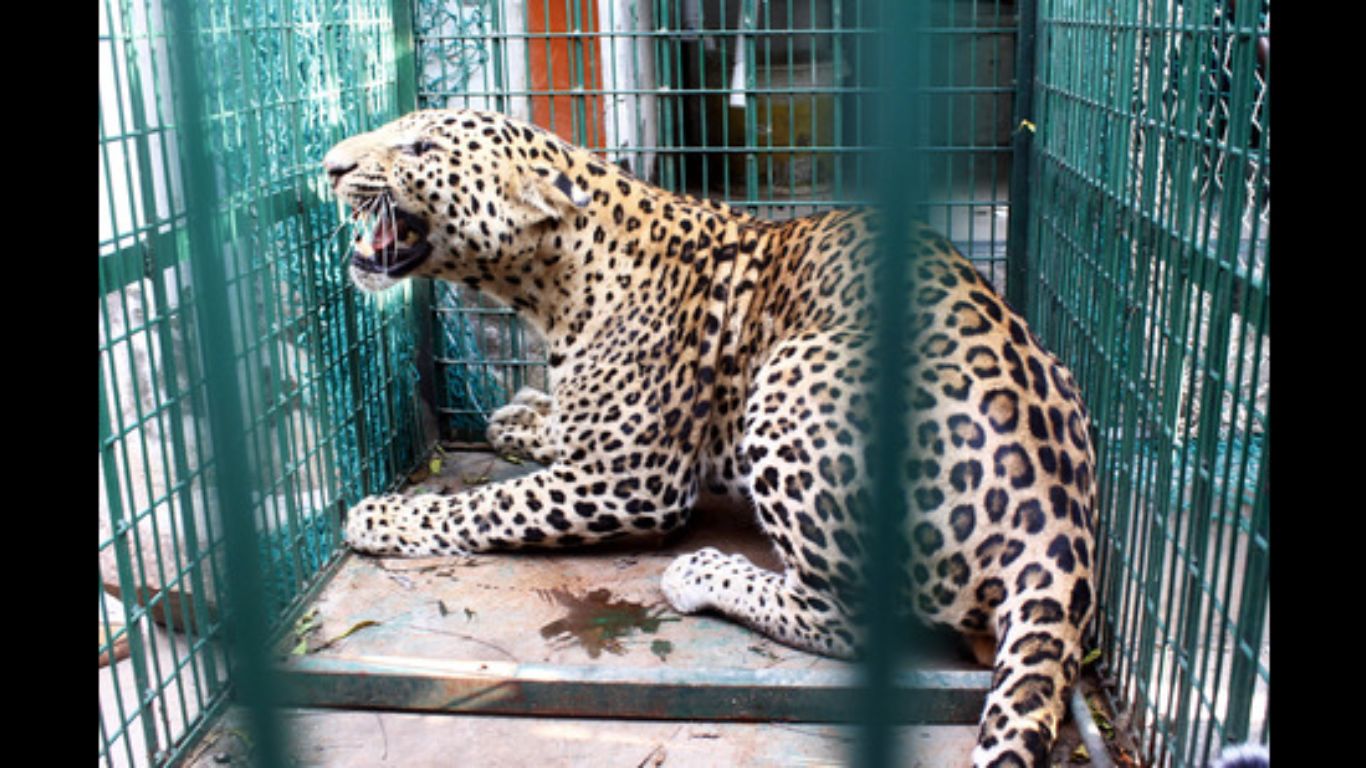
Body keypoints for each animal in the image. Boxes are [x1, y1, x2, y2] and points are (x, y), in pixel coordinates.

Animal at [323, 108, 1097, 768]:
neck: (551, 282)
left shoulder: (631, 482)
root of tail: (1061, 533)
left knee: (862, 619)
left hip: (791, 375)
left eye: (420, 147)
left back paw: (703, 574)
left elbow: (487, 504)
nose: (330, 166)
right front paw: (519, 416)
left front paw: (381, 515)